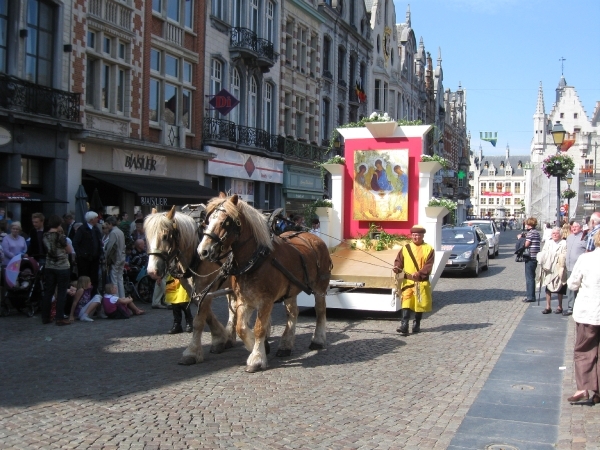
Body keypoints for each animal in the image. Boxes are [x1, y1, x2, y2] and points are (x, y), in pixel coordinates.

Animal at [145, 207, 237, 366]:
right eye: (147, 237)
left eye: (165, 236)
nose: (152, 271)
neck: (196, 253)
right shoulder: (193, 290)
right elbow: (206, 316)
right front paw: (220, 338)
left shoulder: (205, 288)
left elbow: (199, 321)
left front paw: (192, 352)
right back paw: (231, 336)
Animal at [198, 193, 332, 372]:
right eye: (208, 220)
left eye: (225, 221)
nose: (203, 251)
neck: (255, 259)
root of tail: (313, 236)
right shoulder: (244, 300)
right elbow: (241, 328)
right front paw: (261, 348)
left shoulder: (266, 301)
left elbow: (259, 328)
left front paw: (256, 358)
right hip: (291, 290)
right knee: (293, 313)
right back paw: (285, 345)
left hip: (320, 287)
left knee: (320, 310)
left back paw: (318, 340)